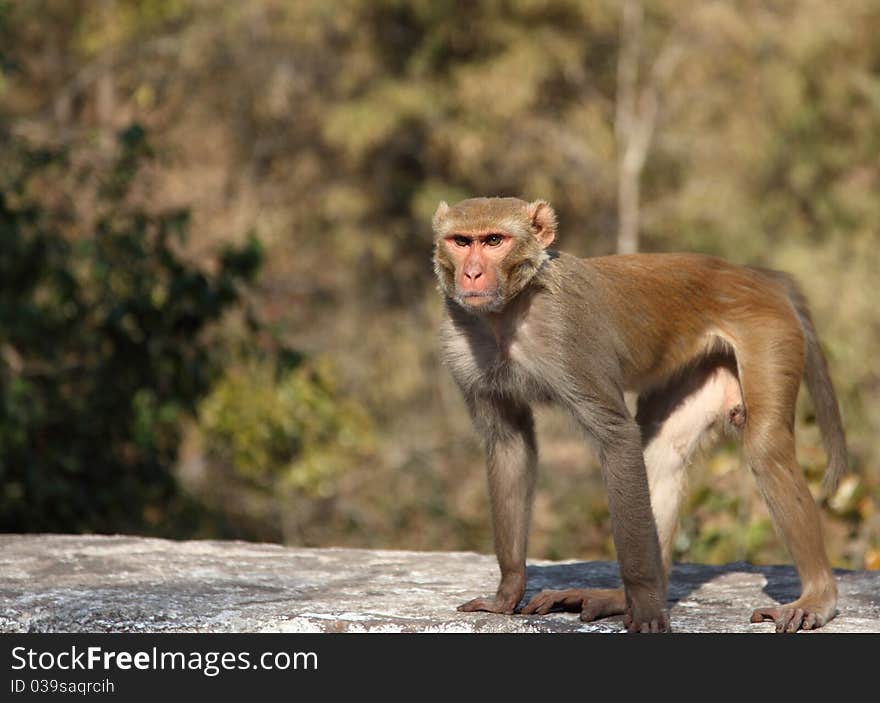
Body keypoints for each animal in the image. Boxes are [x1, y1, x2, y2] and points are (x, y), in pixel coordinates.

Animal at [434, 197, 844, 632]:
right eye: (461, 241)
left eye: (494, 240)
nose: (471, 273)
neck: (507, 313)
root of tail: (756, 275)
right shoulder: (461, 347)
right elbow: (509, 443)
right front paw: (507, 593)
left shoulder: (569, 337)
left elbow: (617, 437)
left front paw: (645, 606)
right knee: (665, 452)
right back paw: (619, 597)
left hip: (770, 331)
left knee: (765, 449)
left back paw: (817, 597)